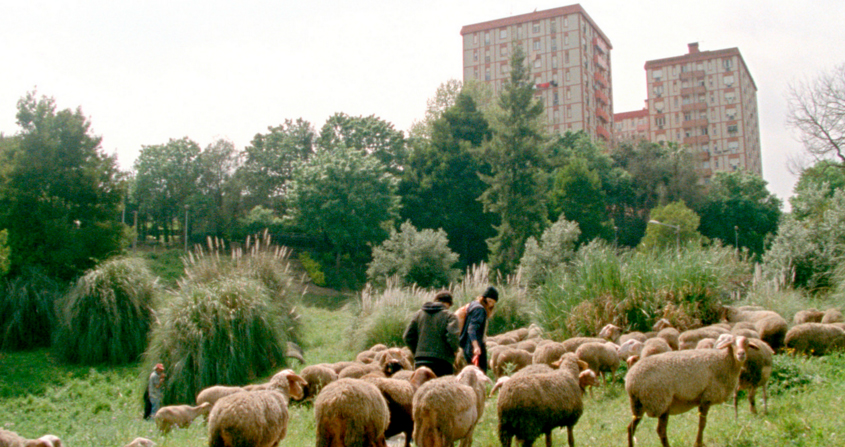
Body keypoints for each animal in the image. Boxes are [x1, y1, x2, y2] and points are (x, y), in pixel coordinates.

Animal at [624, 334, 756, 447]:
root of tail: (631, 381)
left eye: (747, 344)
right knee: (660, 430)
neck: (724, 362)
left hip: (638, 405)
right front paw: (698, 443)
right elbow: (702, 424)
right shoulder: (707, 397)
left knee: (630, 427)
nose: (741, 354)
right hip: (660, 401)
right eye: (732, 344)